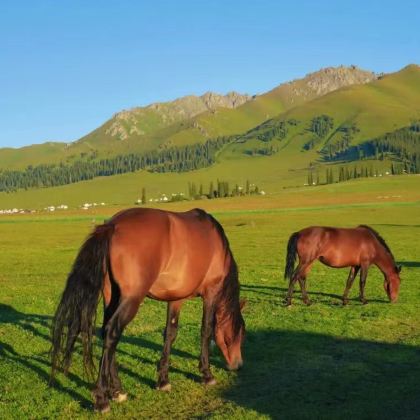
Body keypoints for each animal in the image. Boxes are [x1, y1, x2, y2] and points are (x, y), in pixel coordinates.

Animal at [50, 208, 244, 412]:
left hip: (112, 296)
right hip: (132, 298)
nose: (238, 364)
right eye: (239, 334)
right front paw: (207, 374)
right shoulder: (211, 292)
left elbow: (170, 333)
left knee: (106, 334)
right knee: (112, 333)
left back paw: (117, 391)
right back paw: (102, 398)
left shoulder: (175, 299)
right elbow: (206, 330)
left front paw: (163, 380)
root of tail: (113, 225)